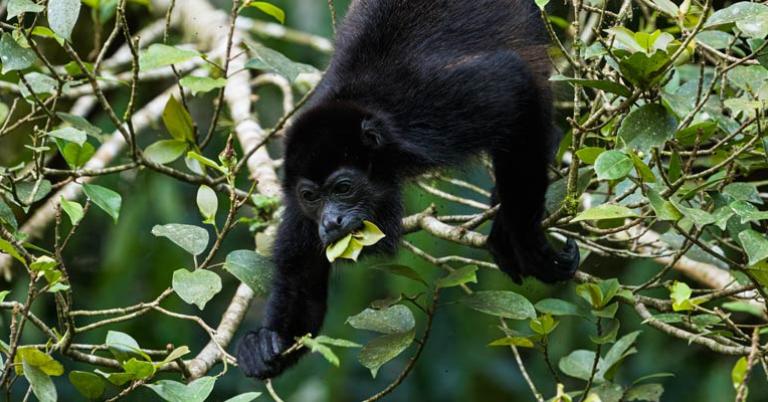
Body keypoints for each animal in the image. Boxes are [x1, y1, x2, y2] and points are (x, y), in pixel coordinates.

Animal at [237, 0, 579, 379]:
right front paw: (269, 344)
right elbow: (302, 276)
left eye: (343, 188)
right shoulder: (297, 188)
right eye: (310, 197)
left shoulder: (426, 118)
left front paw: (525, 241)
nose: (329, 222)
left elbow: (512, 81)